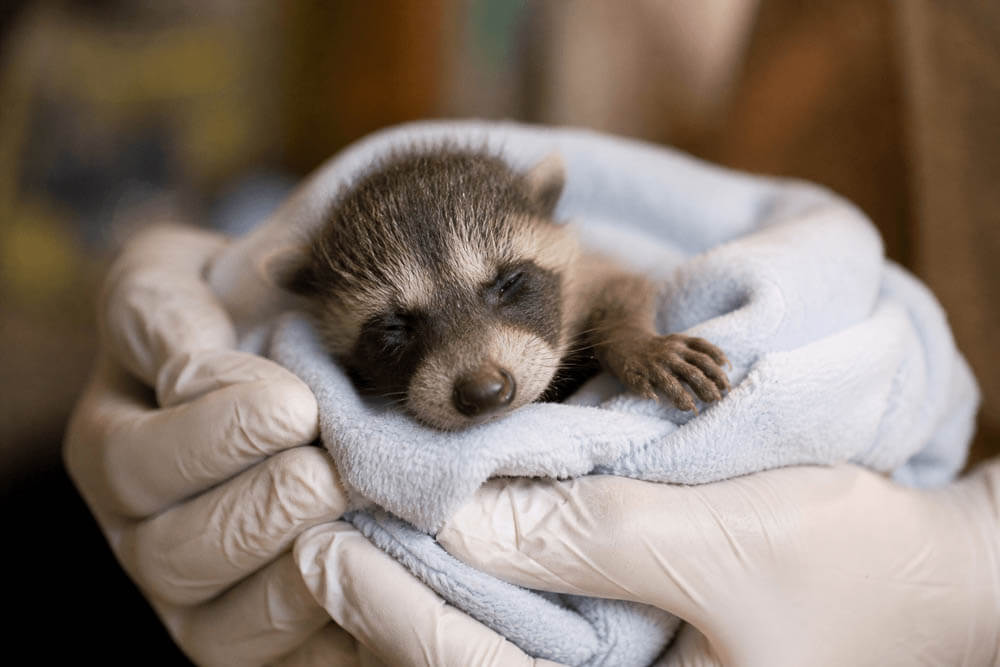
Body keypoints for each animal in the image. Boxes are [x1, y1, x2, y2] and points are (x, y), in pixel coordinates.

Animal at [271, 146, 730, 430]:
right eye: (394, 325)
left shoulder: (585, 272)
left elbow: (622, 283)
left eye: (508, 283)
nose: (485, 392)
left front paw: (632, 340)